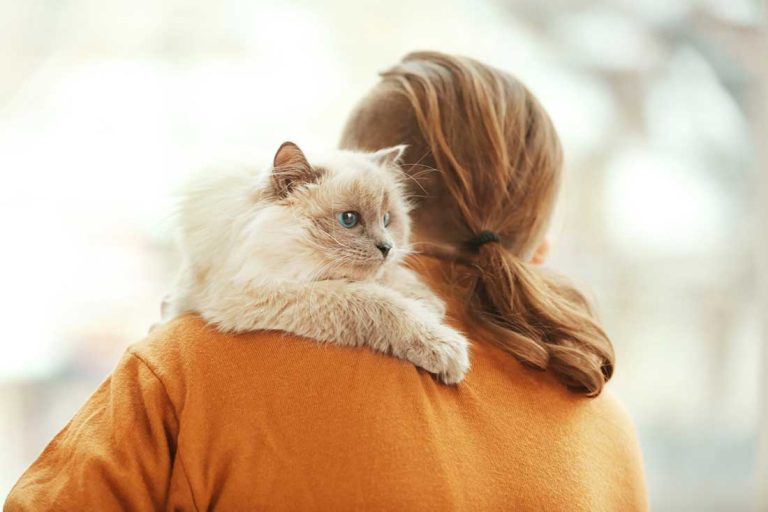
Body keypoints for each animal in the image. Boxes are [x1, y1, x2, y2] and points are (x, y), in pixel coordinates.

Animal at [164, 142, 468, 382]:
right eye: (349, 219)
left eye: (386, 220)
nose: (387, 248)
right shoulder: (254, 293)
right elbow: (376, 301)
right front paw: (445, 346)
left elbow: (390, 280)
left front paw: (430, 305)